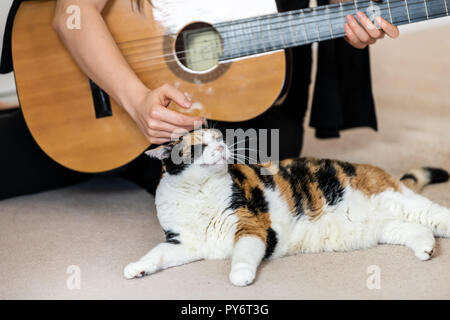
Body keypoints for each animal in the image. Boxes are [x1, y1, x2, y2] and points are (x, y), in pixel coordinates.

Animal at [124, 129, 450, 286]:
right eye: (200, 146)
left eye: (218, 137)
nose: (221, 147)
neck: (198, 192)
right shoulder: (182, 243)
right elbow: (157, 254)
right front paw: (137, 268)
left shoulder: (251, 226)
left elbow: (242, 255)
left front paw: (240, 276)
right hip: (386, 226)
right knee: (417, 229)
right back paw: (425, 249)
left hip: (400, 201)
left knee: (437, 215)